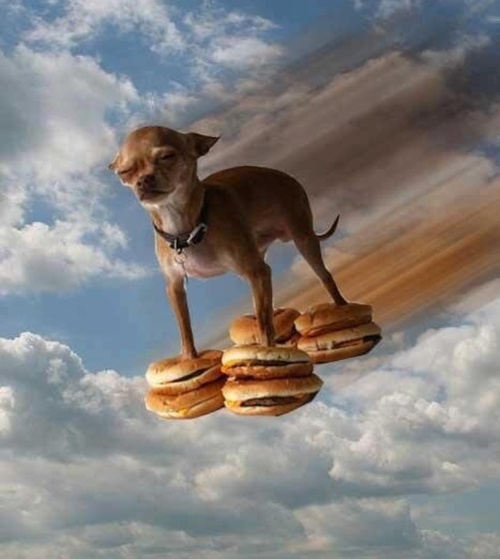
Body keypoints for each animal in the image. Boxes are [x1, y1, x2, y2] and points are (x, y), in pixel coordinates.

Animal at [109, 126, 348, 358]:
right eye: (125, 173)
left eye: (167, 157)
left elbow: (263, 325)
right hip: (260, 251)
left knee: (324, 277)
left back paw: (341, 308)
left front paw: (265, 352)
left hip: (303, 239)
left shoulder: (256, 273)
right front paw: (189, 358)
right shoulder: (175, 287)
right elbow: (185, 329)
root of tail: (289, 177)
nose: (143, 180)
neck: (187, 228)